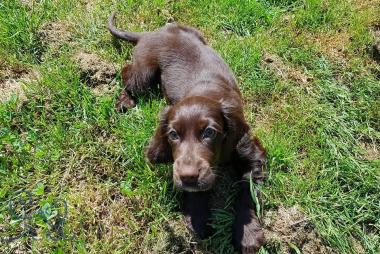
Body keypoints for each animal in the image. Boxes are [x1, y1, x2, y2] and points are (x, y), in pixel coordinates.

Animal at [108, 12, 266, 254]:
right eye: (173, 135)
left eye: (209, 132)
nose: (188, 177)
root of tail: (151, 33)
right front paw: (198, 219)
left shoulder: (251, 152)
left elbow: (247, 192)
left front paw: (247, 234)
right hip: (145, 72)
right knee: (127, 73)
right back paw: (125, 101)